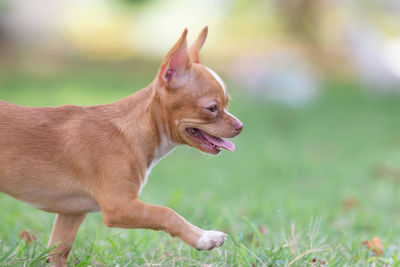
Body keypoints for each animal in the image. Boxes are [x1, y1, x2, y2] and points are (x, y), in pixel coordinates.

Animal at [0, 26, 244, 266]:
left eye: (227, 104)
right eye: (212, 108)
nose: (240, 126)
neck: (133, 132)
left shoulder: (71, 214)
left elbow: (58, 251)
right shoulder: (119, 207)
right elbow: (166, 213)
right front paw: (204, 237)